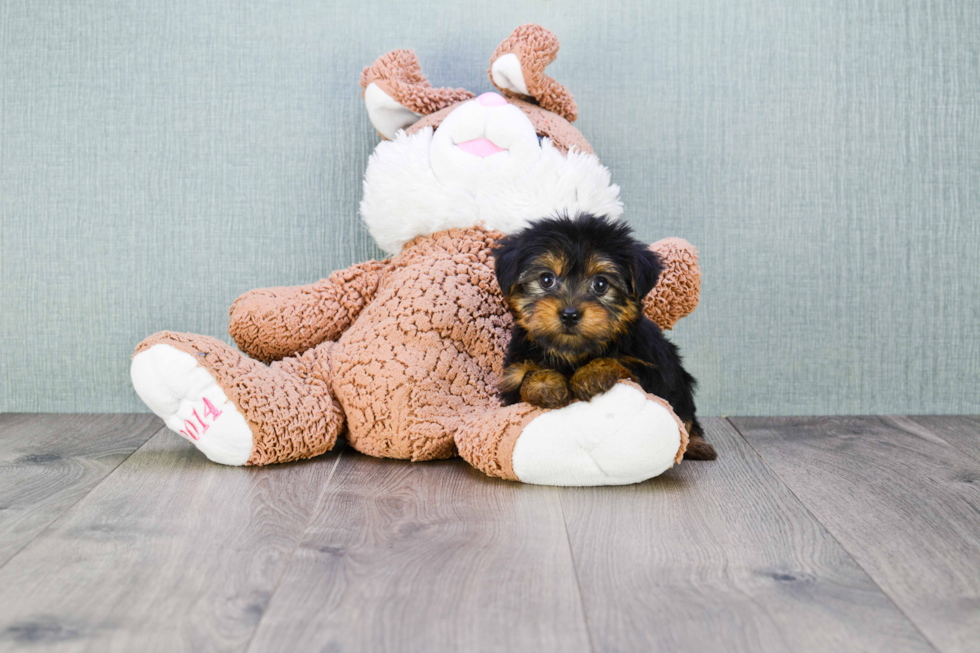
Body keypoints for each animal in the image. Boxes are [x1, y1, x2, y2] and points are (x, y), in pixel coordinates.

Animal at [494, 214, 716, 458]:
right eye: (546, 279)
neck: (573, 353)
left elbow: (620, 361)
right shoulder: (513, 375)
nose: (569, 314)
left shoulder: (654, 373)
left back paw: (697, 445)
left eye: (600, 284)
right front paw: (546, 385)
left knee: (687, 417)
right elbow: (526, 375)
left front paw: (591, 374)